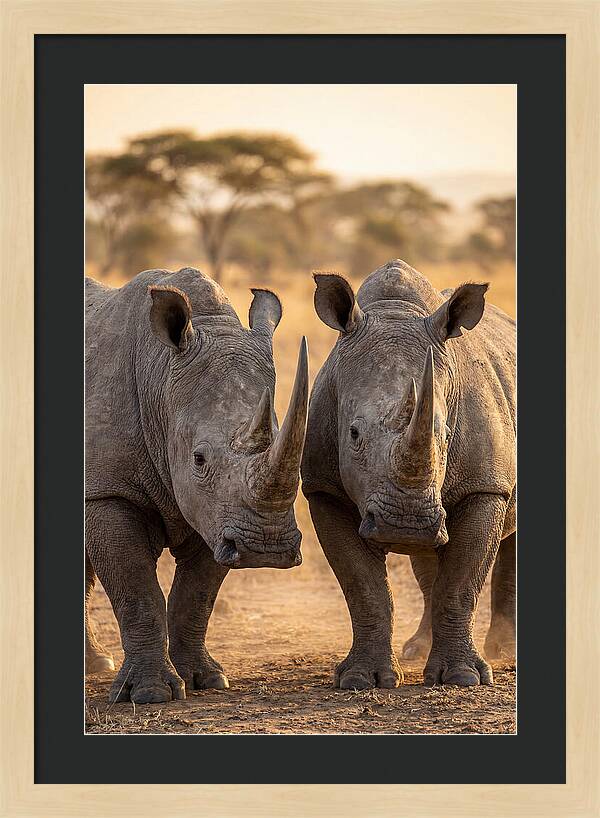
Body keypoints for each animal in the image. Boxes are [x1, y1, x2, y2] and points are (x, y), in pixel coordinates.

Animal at [85, 267, 308, 703]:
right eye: (199, 459)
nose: (266, 548)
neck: (160, 378)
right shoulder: (107, 490)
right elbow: (136, 591)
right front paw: (150, 694)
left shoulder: (219, 514)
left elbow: (196, 595)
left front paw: (205, 679)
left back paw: (95, 664)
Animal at [301, 259, 515, 688]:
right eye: (353, 434)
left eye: (445, 434)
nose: (406, 524)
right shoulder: (323, 488)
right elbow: (363, 588)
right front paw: (361, 679)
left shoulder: (486, 487)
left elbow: (461, 584)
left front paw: (464, 678)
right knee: (428, 560)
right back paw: (417, 649)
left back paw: (505, 650)